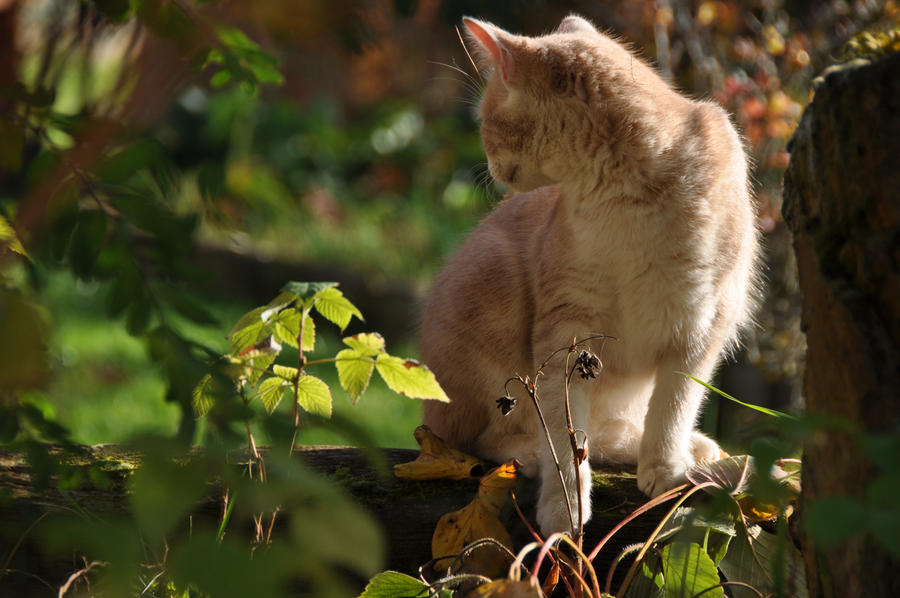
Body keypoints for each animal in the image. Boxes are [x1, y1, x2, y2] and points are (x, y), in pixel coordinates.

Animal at [422, 16, 760, 536]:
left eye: (484, 120)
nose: (488, 165)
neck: (628, 198)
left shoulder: (703, 324)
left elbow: (674, 405)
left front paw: (665, 466)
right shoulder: (566, 329)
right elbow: (563, 438)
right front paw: (565, 506)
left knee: (609, 431)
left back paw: (687, 448)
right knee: (479, 438)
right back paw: (527, 453)